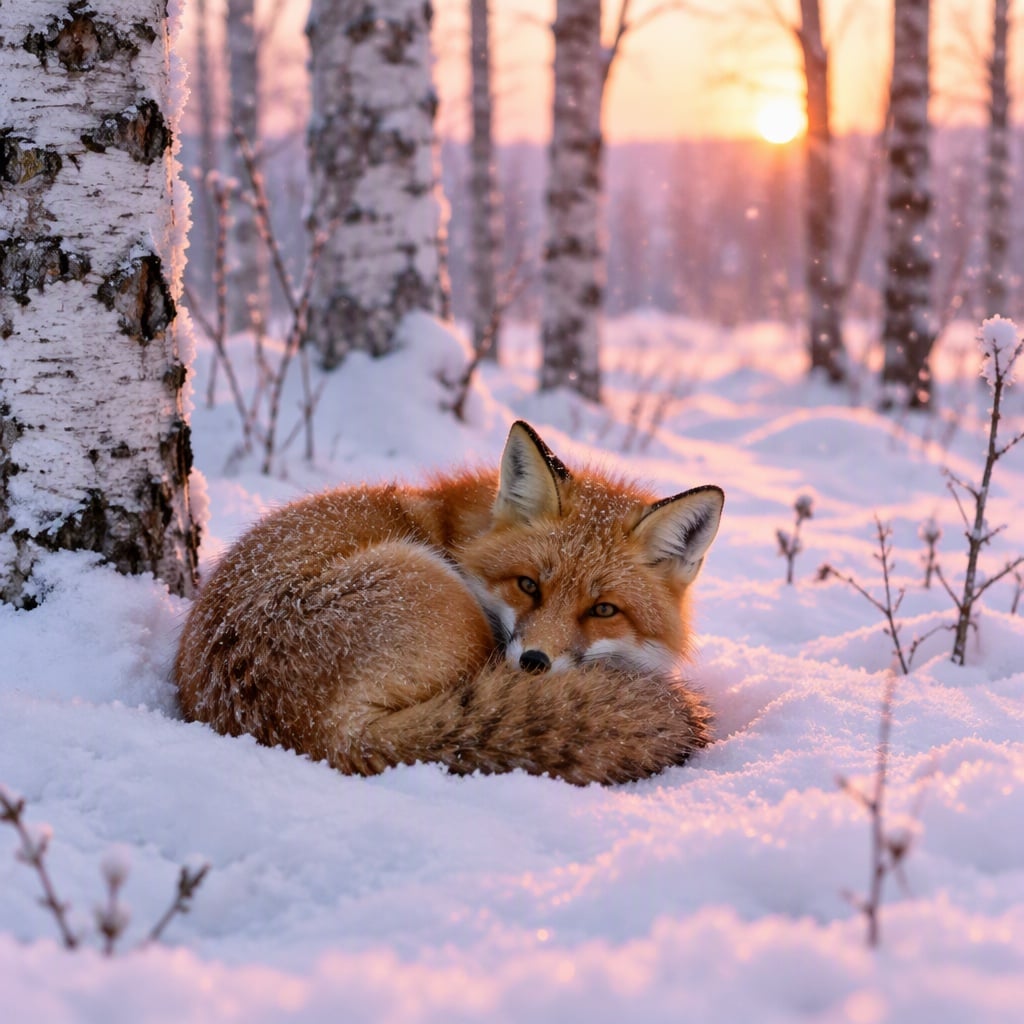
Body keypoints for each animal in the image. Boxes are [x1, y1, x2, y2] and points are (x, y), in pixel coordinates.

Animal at [173, 421, 724, 785]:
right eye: (528, 585)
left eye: (603, 610)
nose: (534, 663)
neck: (462, 534)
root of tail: (319, 735)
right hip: (448, 604)